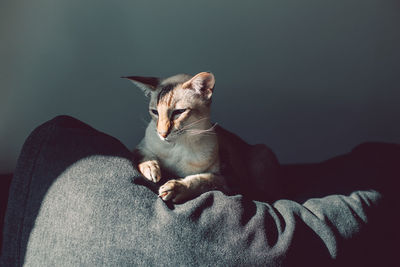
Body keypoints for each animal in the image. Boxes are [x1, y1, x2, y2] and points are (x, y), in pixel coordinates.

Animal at [123, 71, 280, 203]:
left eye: (179, 112)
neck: (176, 148)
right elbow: (144, 155)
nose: (162, 133)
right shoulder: (141, 146)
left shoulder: (227, 180)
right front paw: (151, 170)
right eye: (155, 112)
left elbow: (201, 180)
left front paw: (175, 188)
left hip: (262, 151)